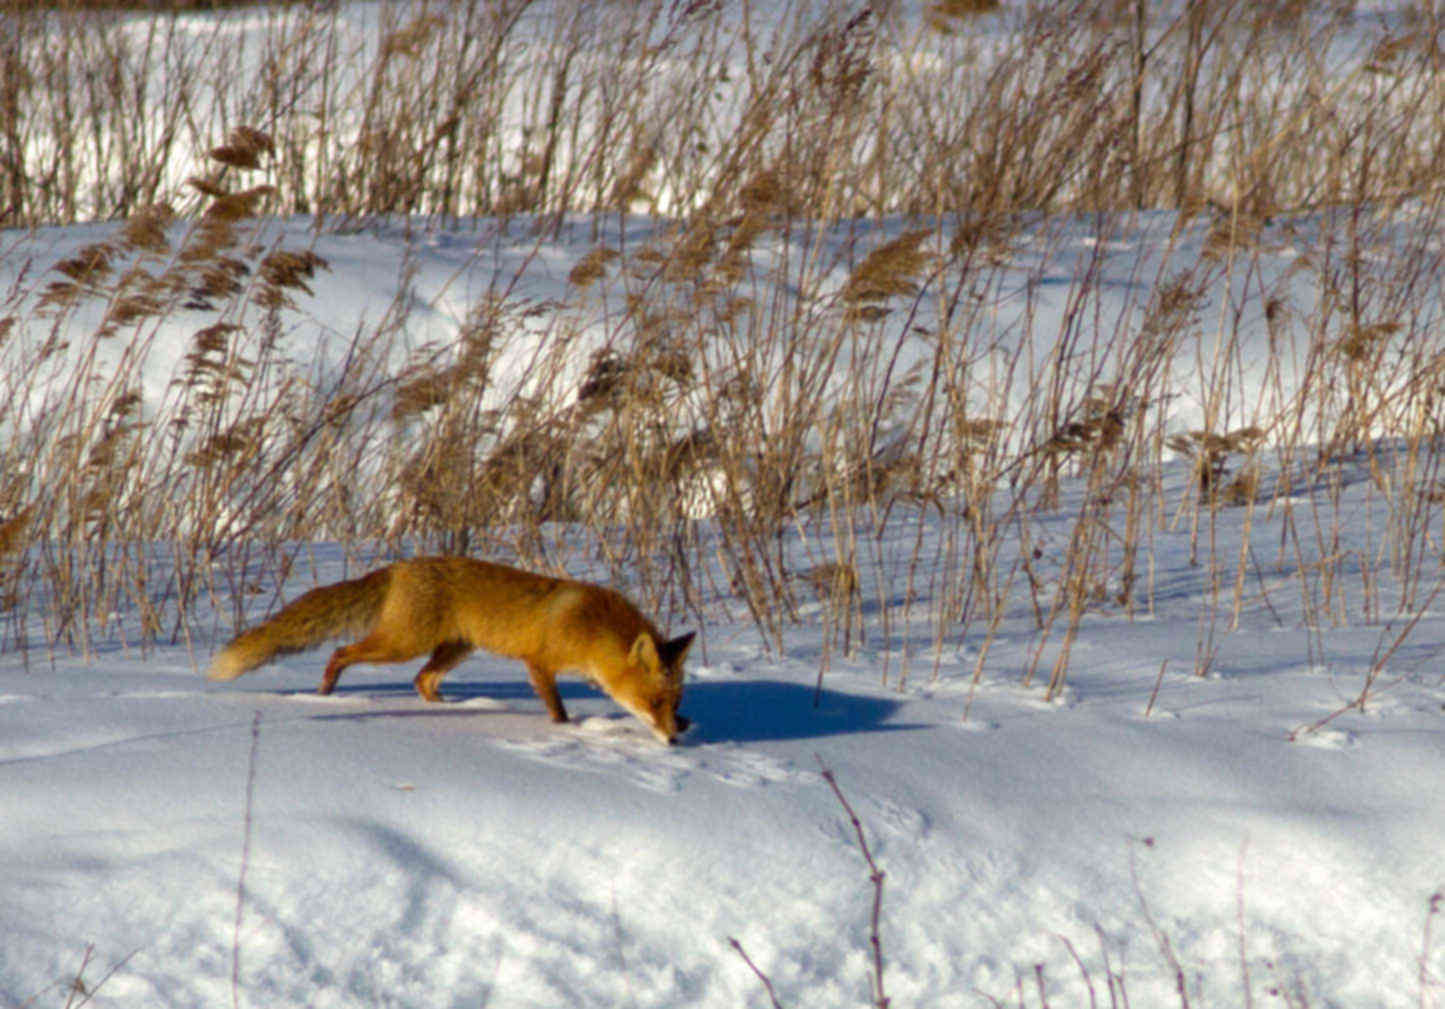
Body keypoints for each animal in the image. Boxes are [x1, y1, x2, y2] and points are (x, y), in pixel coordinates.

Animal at [208, 557, 693, 740]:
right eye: (653, 701)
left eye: (672, 700)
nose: (671, 740)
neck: (593, 626)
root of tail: (401, 564)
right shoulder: (538, 662)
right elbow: (556, 708)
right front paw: (565, 731)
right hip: (402, 644)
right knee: (341, 652)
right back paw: (326, 694)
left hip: (453, 650)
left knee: (422, 680)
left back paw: (449, 708)